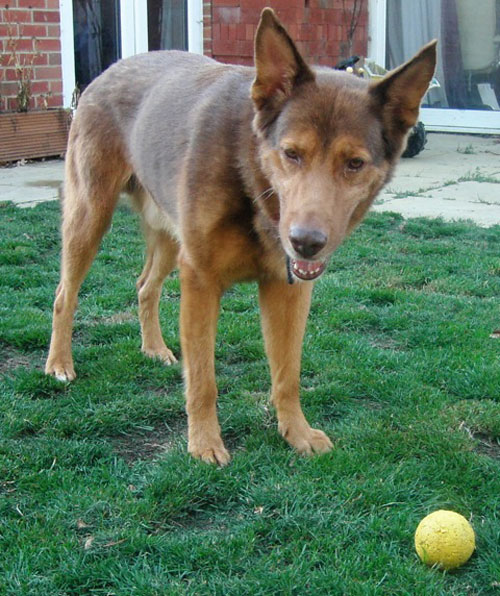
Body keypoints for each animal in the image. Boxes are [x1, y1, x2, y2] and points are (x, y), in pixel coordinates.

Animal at [47, 10, 438, 466]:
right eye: (291, 154)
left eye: (355, 163)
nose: (305, 242)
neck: (250, 174)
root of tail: (107, 71)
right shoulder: (200, 281)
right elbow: (203, 380)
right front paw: (203, 443)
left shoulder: (287, 290)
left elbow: (288, 374)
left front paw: (296, 432)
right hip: (90, 217)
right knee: (65, 295)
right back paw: (59, 363)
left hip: (169, 237)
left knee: (145, 286)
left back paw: (154, 348)